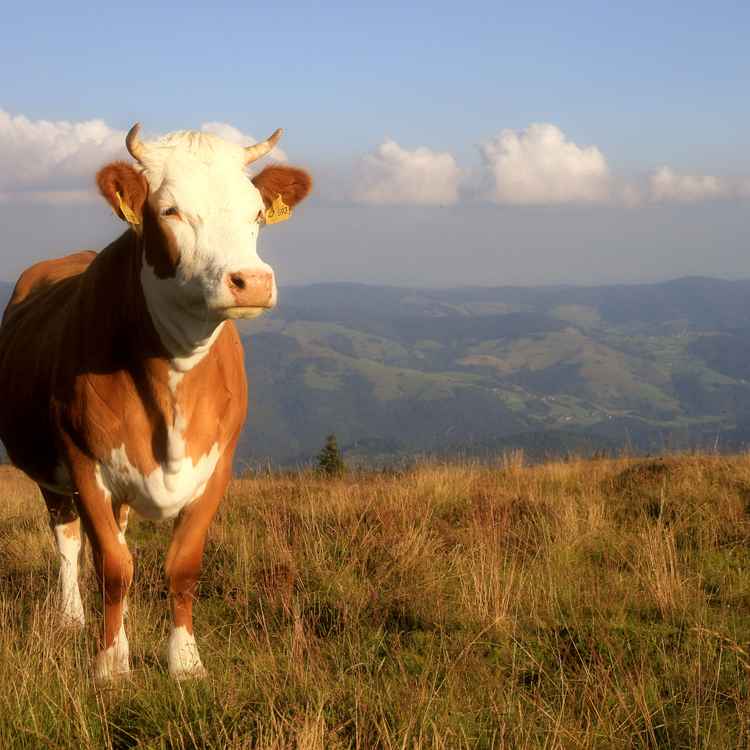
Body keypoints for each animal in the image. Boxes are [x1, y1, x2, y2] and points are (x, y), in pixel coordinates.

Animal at [0, 123, 311, 682]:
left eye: (257, 212)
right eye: (170, 211)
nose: (251, 281)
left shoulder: (218, 465)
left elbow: (182, 565)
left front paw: (185, 662)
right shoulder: (82, 461)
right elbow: (112, 566)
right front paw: (110, 664)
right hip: (49, 472)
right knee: (68, 541)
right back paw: (71, 618)